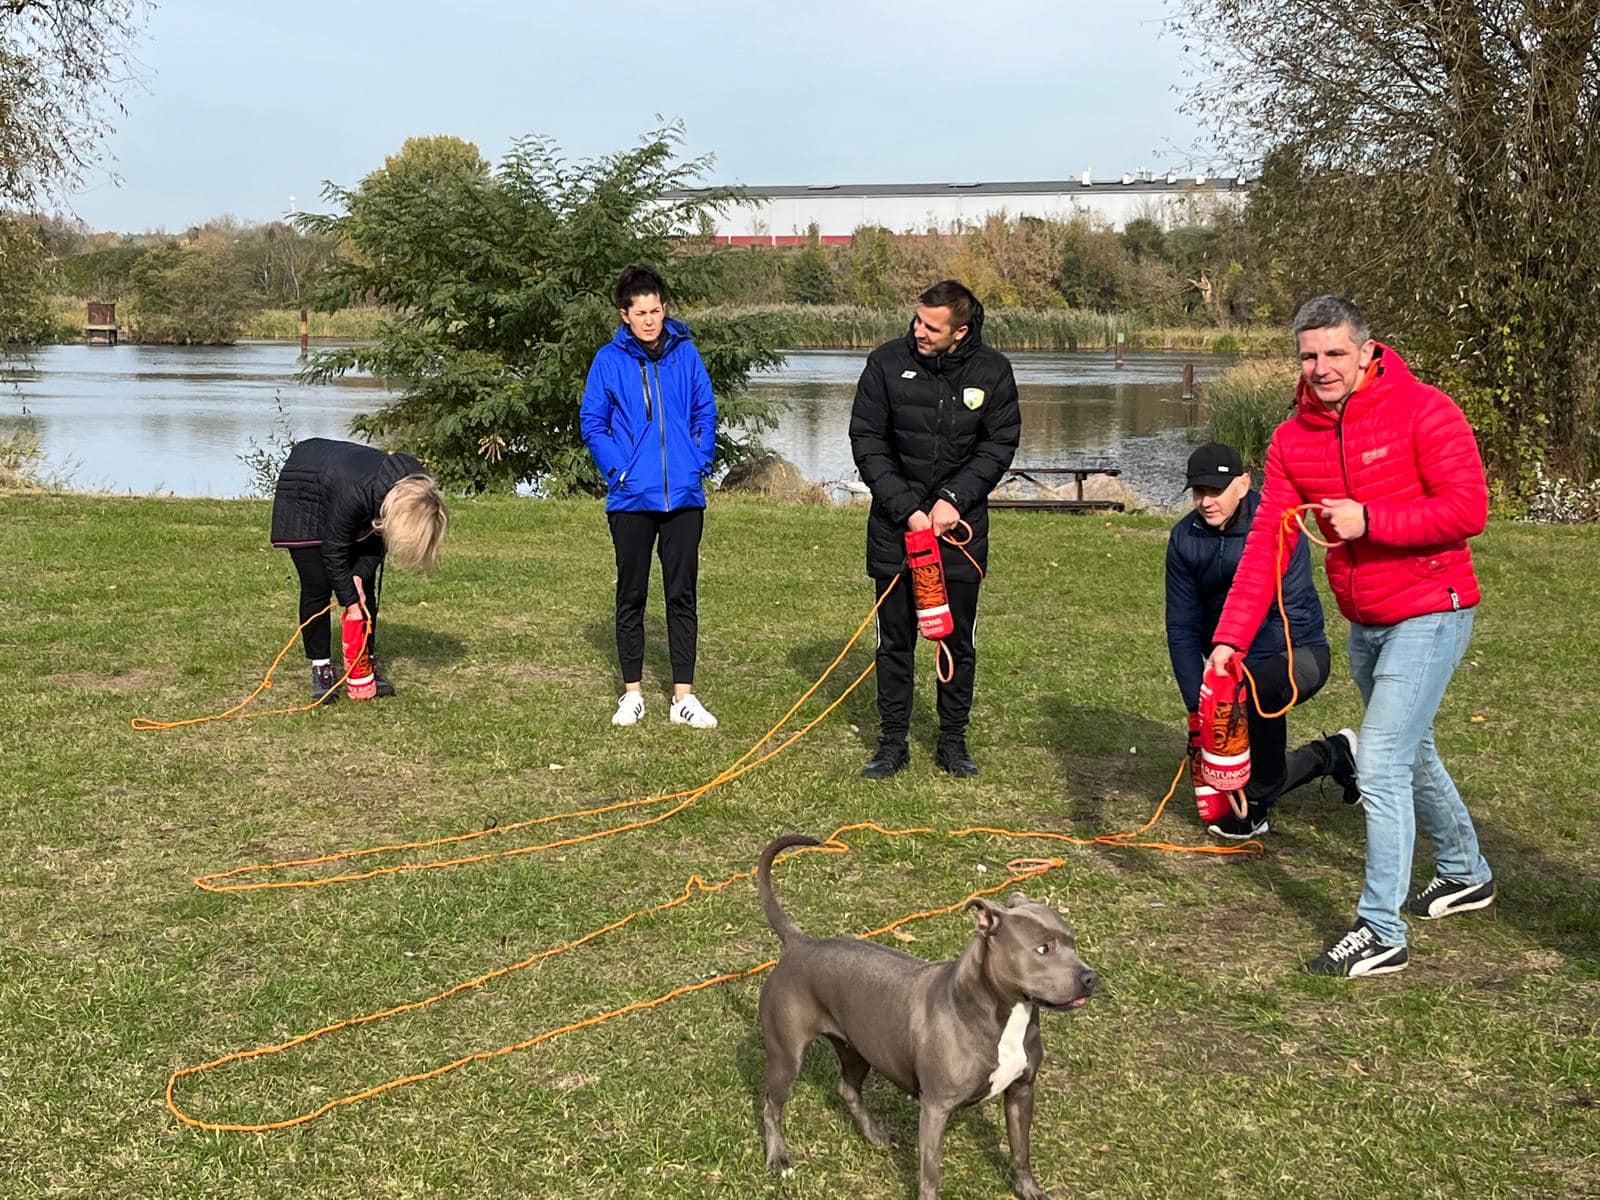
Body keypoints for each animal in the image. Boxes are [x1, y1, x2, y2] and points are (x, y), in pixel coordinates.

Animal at [756, 834, 1097, 1200]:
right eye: (1043, 948)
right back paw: (778, 1157)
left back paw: (875, 1135)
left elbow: (1021, 1150)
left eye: (1073, 943)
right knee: (771, 1104)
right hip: (787, 1056)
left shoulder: (1021, 1091)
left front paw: (1029, 1189)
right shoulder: (936, 1108)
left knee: (848, 1089)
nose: (1090, 977)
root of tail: (799, 942)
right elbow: (930, 1171)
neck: (1001, 1013)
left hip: (857, 1048)